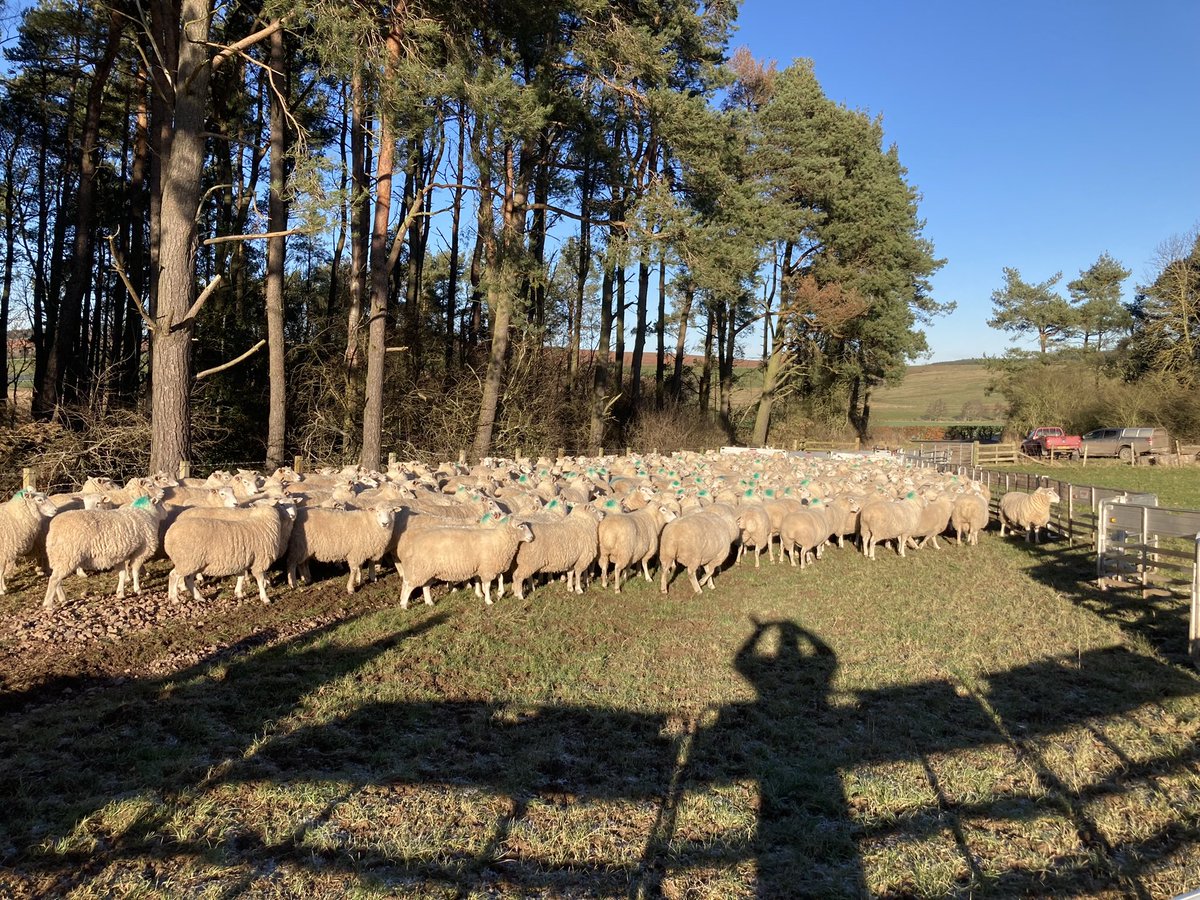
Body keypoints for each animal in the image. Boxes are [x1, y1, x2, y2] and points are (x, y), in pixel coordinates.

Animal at [164, 501, 297, 607]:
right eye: (282, 504)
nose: (293, 515)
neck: (261, 522)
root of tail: (169, 534)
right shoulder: (260, 560)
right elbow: (259, 580)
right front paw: (265, 598)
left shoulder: (242, 560)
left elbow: (241, 576)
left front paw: (239, 593)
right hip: (187, 560)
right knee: (174, 575)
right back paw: (174, 599)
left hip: (194, 562)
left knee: (188, 578)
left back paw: (199, 597)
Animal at [398, 518, 535, 609]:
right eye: (521, 526)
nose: (532, 538)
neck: (501, 540)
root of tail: (415, 542)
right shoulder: (487, 568)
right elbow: (487, 585)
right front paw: (489, 600)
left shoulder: (494, 565)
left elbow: (500, 578)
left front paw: (500, 593)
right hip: (421, 568)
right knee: (408, 585)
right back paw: (404, 605)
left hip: (428, 570)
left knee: (425, 586)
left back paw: (429, 602)